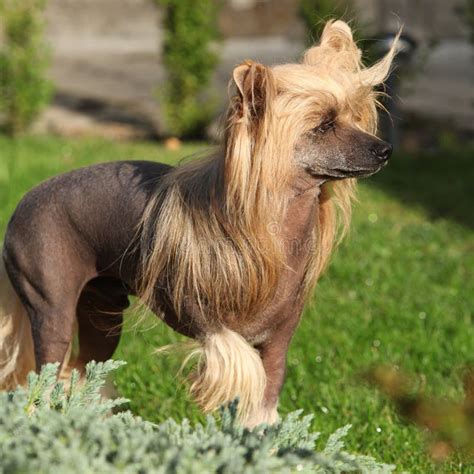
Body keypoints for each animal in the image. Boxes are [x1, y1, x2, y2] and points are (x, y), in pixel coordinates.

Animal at [0, 19, 398, 426]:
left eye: (353, 115)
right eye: (323, 125)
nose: (385, 150)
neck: (272, 230)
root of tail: (20, 205)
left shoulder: (278, 343)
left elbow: (266, 392)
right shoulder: (206, 323)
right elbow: (241, 364)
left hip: (102, 314)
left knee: (80, 372)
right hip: (52, 308)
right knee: (44, 380)